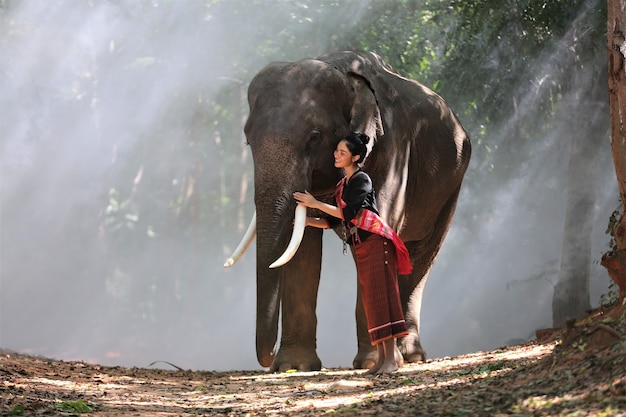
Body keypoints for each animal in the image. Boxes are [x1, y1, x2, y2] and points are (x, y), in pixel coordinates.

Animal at [224, 50, 468, 372]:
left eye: (314, 136)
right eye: (248, 140)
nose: (269, 360)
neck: (339, 69)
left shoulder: (393, 150)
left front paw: (368, 362)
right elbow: (302, 250)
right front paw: (295, 366)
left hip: (452, 186)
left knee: (421, 257)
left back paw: (406, 356)